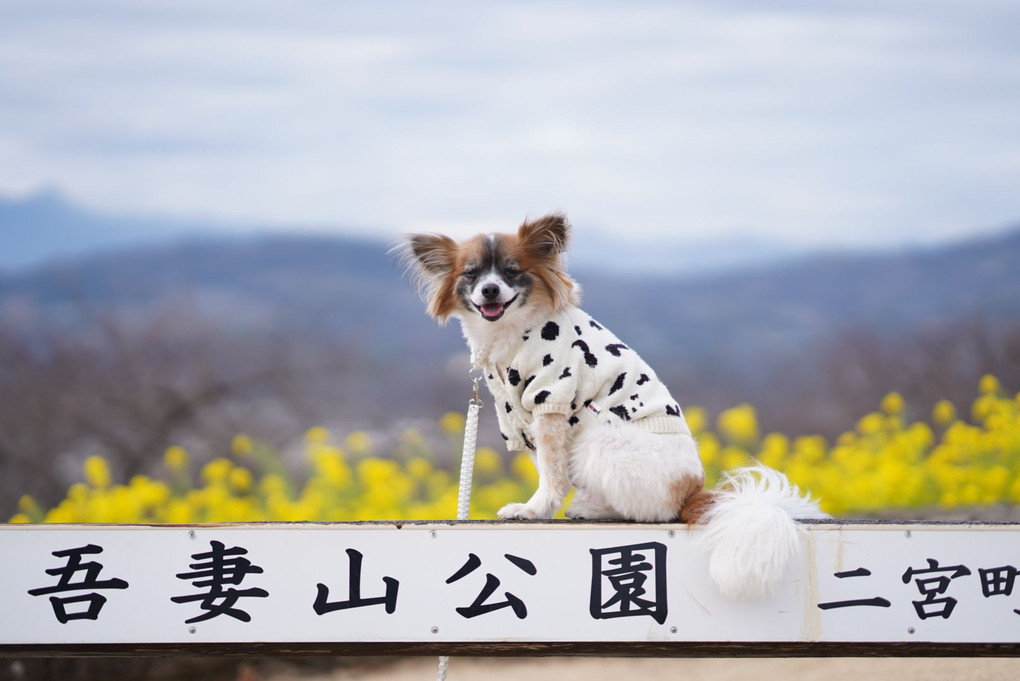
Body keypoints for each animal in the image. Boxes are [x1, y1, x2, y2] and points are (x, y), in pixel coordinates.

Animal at [401, 214, 824, 595]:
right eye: (471, 274)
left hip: (601, 438)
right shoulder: (521, 419)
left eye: (511, 272)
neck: (510, 334)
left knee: (654, 511)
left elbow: (551, 474)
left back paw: (594, 509)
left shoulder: (551, 401)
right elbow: (547, 468)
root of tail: (692, 491)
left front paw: (534, 510)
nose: (490, 290)